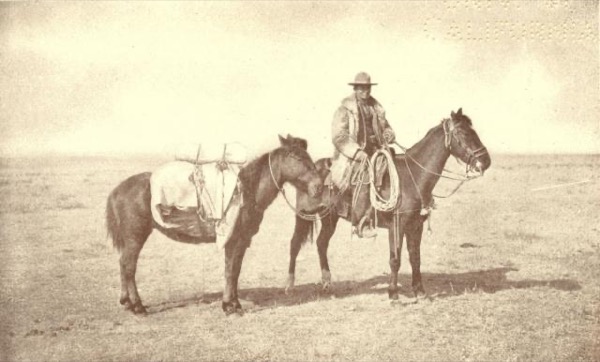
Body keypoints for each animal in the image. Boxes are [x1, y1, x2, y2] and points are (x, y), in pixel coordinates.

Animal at [107, 134, 324, 316]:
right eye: (296, 157)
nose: (319, 186)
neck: (248, 191)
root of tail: (118, 190)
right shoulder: (232, 239)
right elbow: (230, 271)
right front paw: (229, 306)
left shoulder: (241, 241)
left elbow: (235, 271)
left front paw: (234, 303)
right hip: (135, 237)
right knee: (128, 266)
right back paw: (137, 306)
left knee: (122, 264)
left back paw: (126, 302)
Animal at [288, 108, 490, 300]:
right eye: (463, 133)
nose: (486, 161)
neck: (412, 176)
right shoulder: (396, 226)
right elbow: (395, 259)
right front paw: (393, 293)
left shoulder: (416, 226)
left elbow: (415, 258)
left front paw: (420, 291)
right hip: (303, 215)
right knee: (295, 244)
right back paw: (290, 286)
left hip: (330, 218)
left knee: (321, 243)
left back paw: (326, 283)